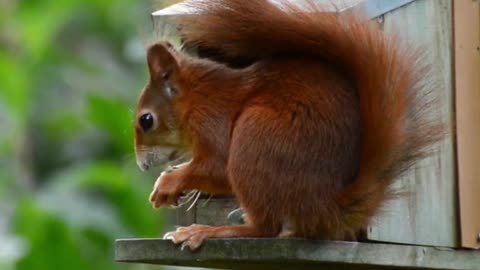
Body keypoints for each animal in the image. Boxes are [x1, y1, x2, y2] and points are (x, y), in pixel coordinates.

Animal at [132, 0, 442, 251]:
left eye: (146, 120)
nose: (142, 166)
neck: (197, 97)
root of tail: (325, 206)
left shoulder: (212, 119)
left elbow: (217, 167)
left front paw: (169, 182)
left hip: (254, 138)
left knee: (264, 229)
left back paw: (208, 231)